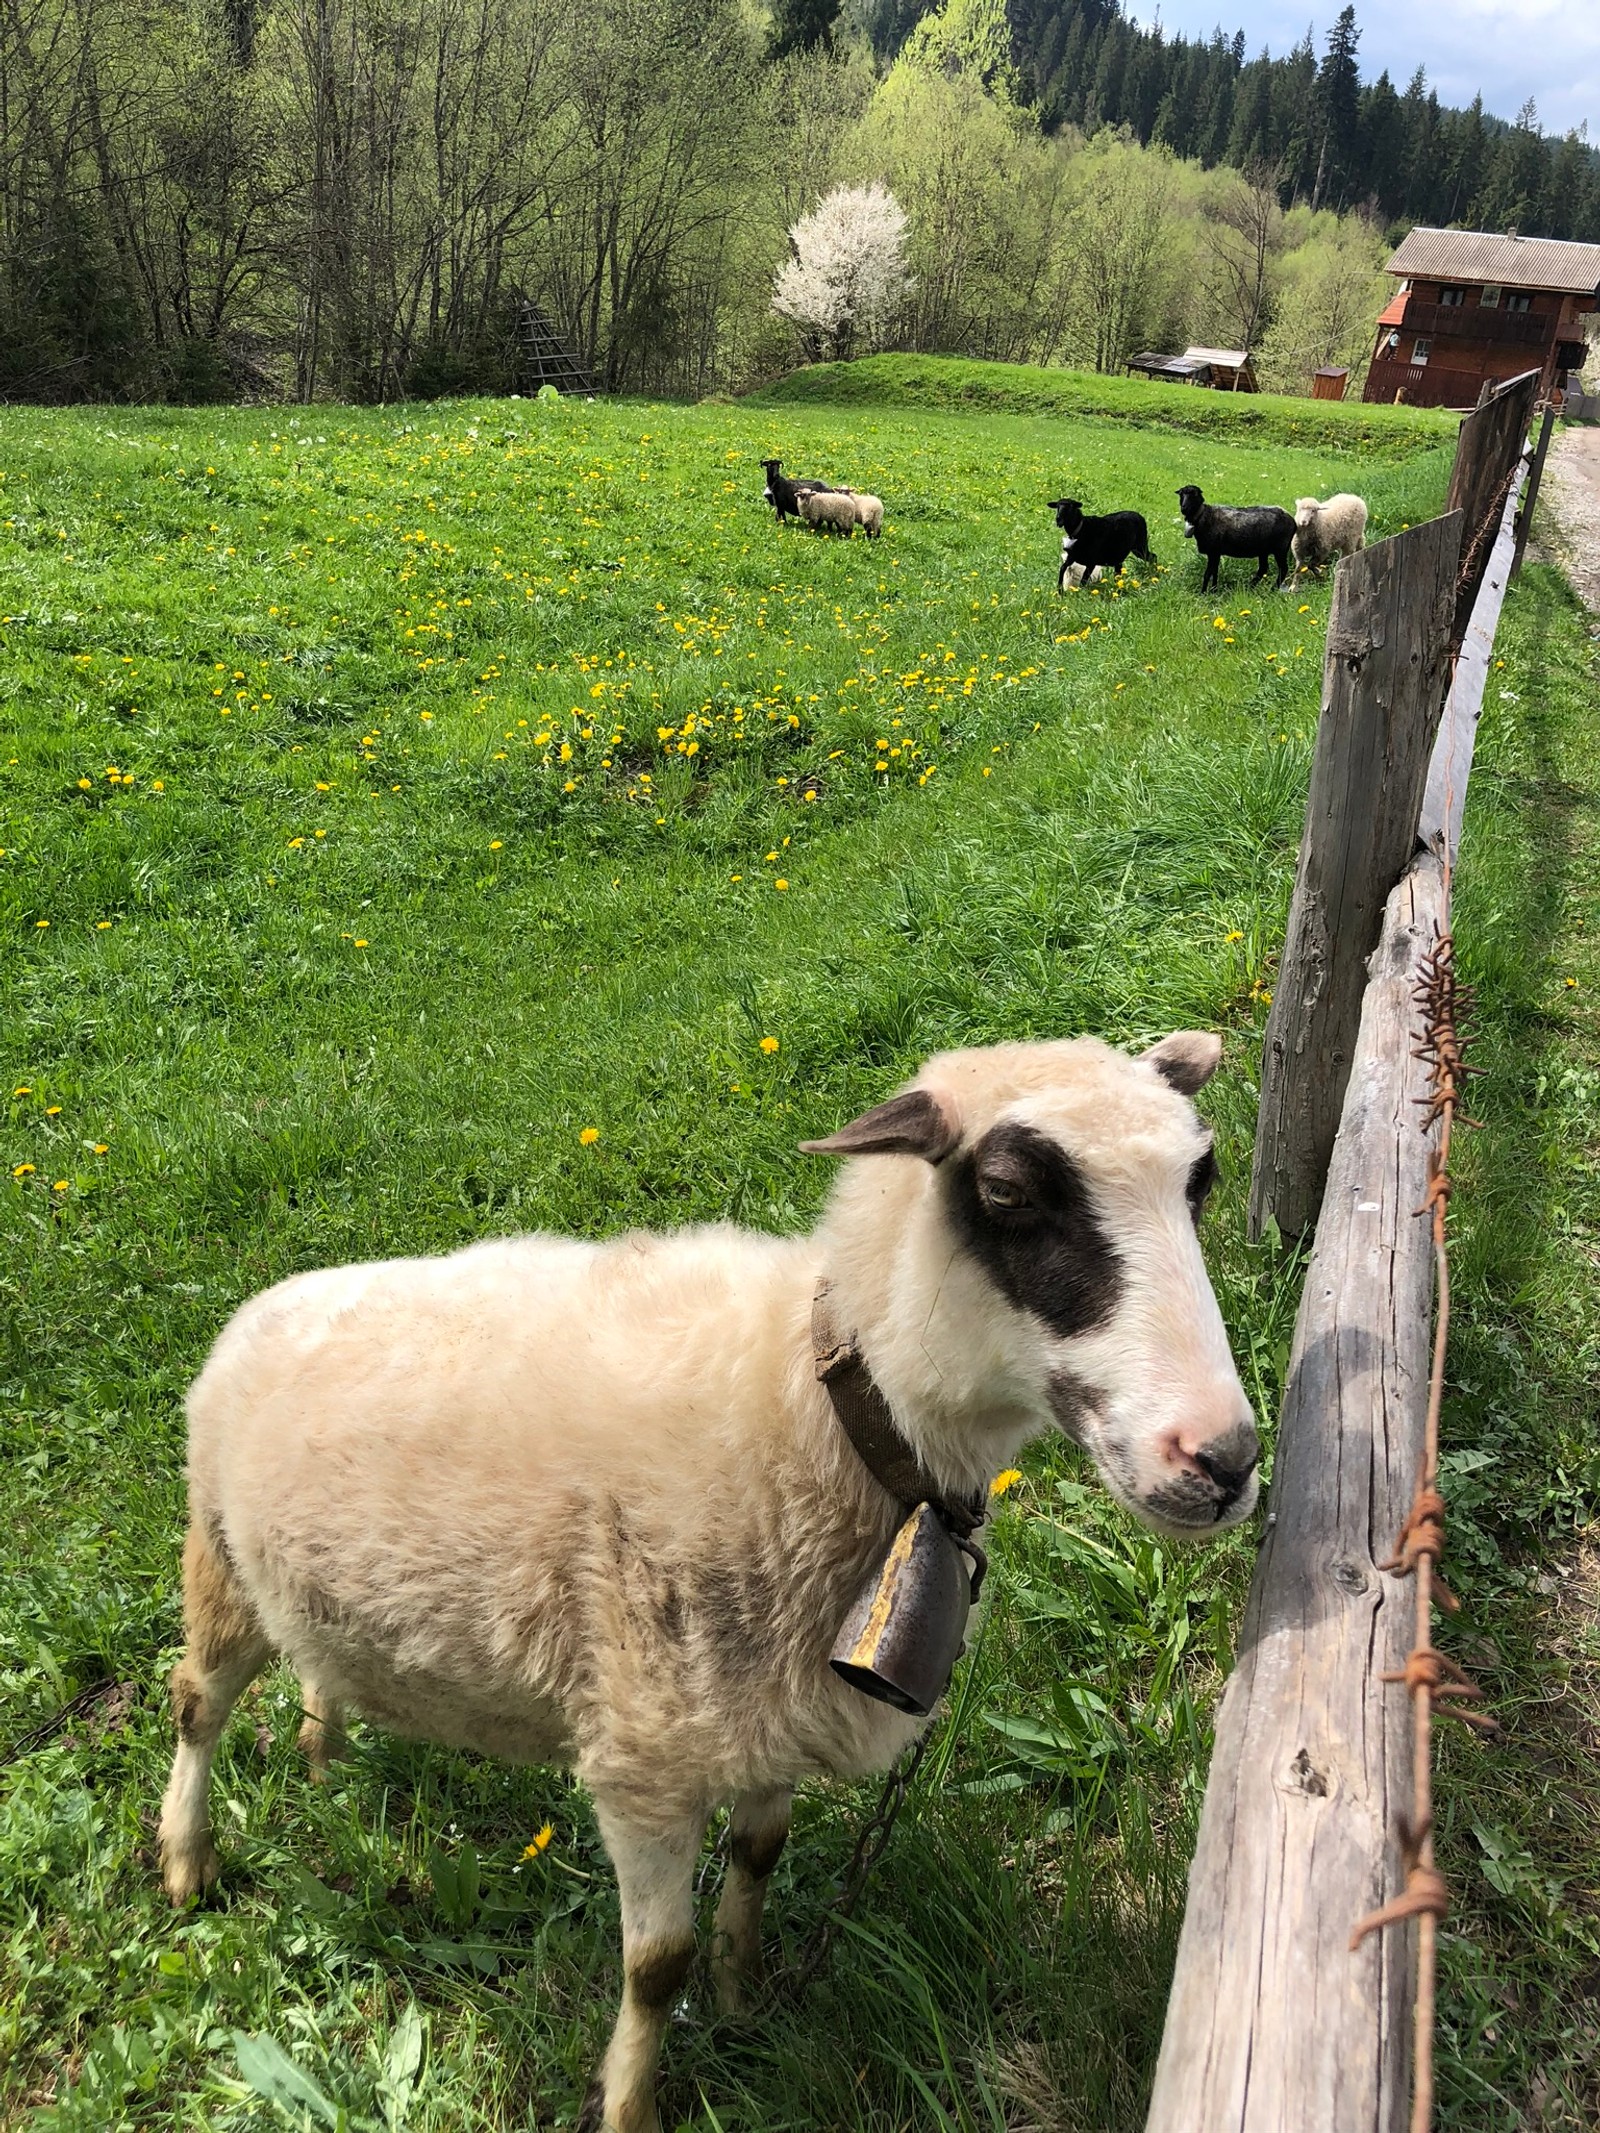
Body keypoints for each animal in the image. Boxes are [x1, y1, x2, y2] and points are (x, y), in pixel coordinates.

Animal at [166, 1032, 1262, 2133]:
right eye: (1004, 1192)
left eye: (1200, 1179)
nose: (1223, 1461)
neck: (814, 1403)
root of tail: (268, 1300)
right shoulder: (645, 1748)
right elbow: (658, 1965)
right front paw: (632, 2104)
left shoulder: (778, 1699)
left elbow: (759, 1859)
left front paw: (744, 1995)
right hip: (216, 1551)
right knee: (195, 1701)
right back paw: (185, 1864)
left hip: (312, 1587)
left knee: (315, 1668)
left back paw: (325, 1762)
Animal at [1177, 482, 1305, 588]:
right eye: (1181, 495)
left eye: (1194, 495)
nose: (1184, 508)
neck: (1202, 516)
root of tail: (1292, 520)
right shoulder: (1215, 553)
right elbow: (1215, 572)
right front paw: (1213, 590)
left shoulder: (1213, 551)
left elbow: (1208, 573)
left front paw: (1203, 592)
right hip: (1263, 550)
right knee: (1263, 569)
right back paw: (1250, 587)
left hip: (1280, 548)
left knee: (1283, 569)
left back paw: (1272, 589)